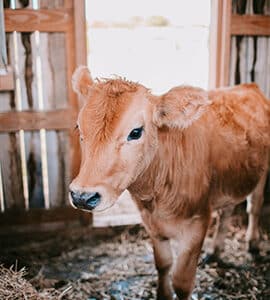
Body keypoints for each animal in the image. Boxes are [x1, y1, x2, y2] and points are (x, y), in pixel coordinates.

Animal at [68, 66, 268, 300]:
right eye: (78, 128)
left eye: (136, 132)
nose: (82, 196)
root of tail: (248, 86)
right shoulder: (151, 223)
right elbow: (163, 265)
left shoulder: (197, 223)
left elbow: (181, 282)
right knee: (227, 211)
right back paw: (215, 251)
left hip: (263, 170)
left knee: (254, 207)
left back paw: (253, 245)